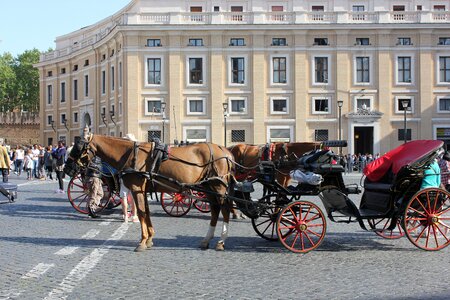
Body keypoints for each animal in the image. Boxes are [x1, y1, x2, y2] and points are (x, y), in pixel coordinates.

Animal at [67, 128, 236, 251]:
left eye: (78, 146)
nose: (68, 168)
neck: (130, 154)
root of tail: (225, 150)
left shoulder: (137, 189)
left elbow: (141, 212)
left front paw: (142, 241)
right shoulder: (143, 190)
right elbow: (146, 212)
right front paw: (149, 239)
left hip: (218, 187)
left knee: (225, 209)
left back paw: (221, 241)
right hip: (208, 187)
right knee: (215, 210)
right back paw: (207, 240)